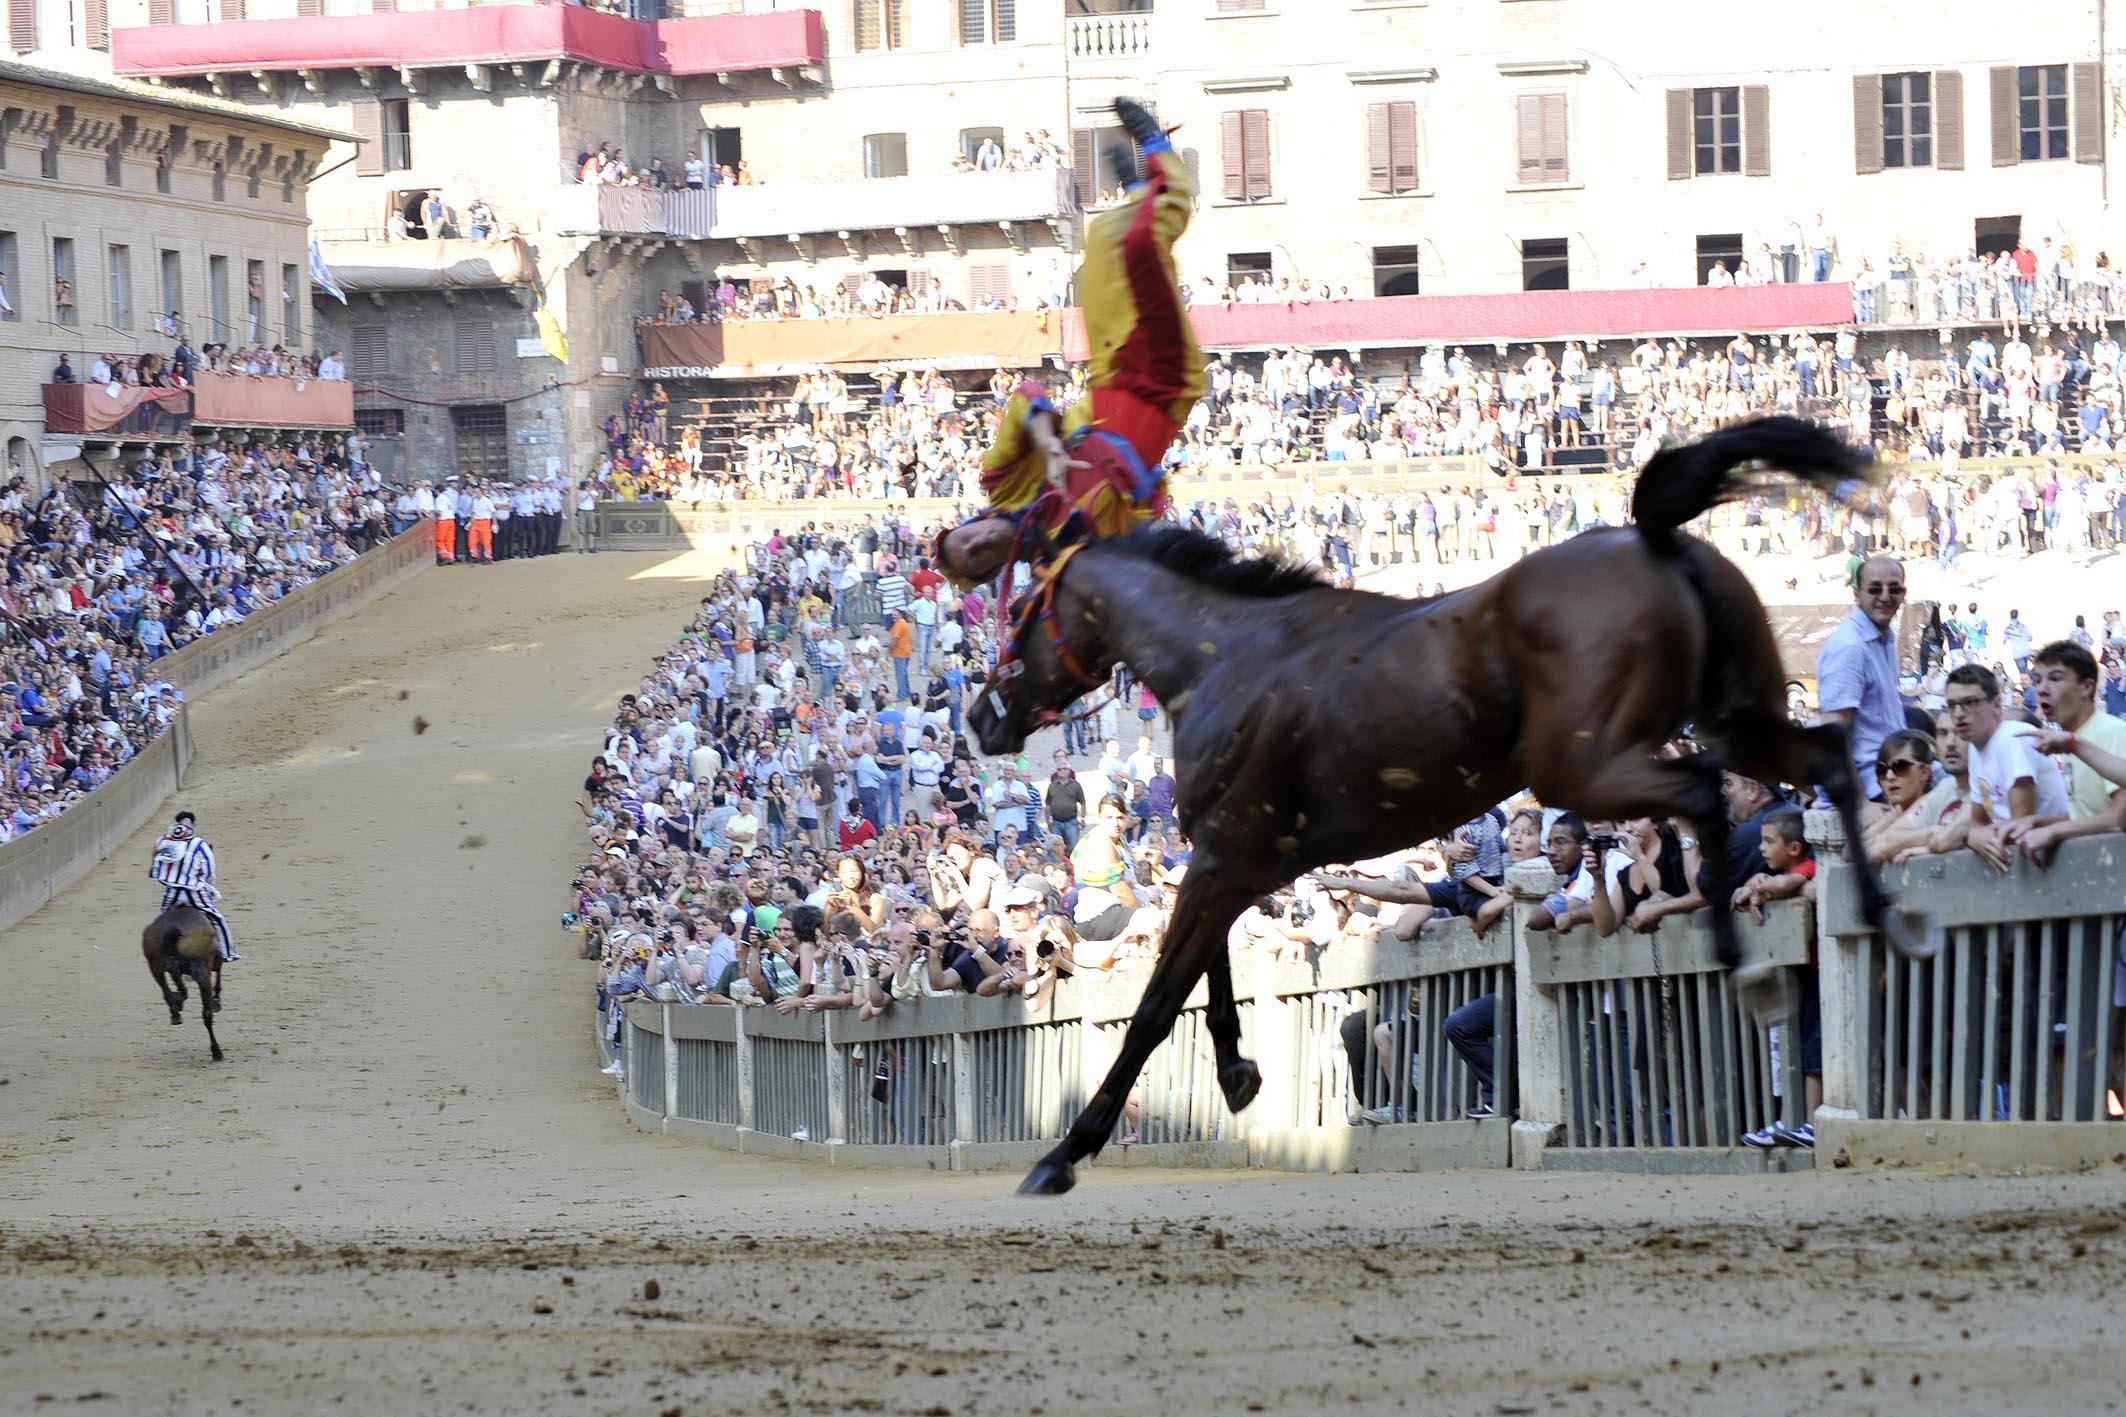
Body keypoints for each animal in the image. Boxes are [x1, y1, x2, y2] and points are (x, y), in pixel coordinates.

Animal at [143, 909, 224, 1062]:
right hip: (203, 974)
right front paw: (216, 1001)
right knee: (206, 1014)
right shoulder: (214, 963)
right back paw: (217, 1052)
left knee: (167, 993)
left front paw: (179, 1000)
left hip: (155, 968)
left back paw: (175, 1012)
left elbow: (178, 988)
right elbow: (218, 978)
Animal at [973, 416, 1938, 1189]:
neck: (1225, 659)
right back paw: (1885, 919)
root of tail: (1656, 539)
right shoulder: (1238, 859)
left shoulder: (1222, 855)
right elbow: (1210, 973)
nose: (984, 714)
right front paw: (1239, 1073)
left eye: (1018, 612)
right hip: (1738, 712)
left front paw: (1066, 1150)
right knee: (1826, 758)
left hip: (1586, 766)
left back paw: (1747, 959)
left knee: (1703, 792)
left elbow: (1154, 1005)